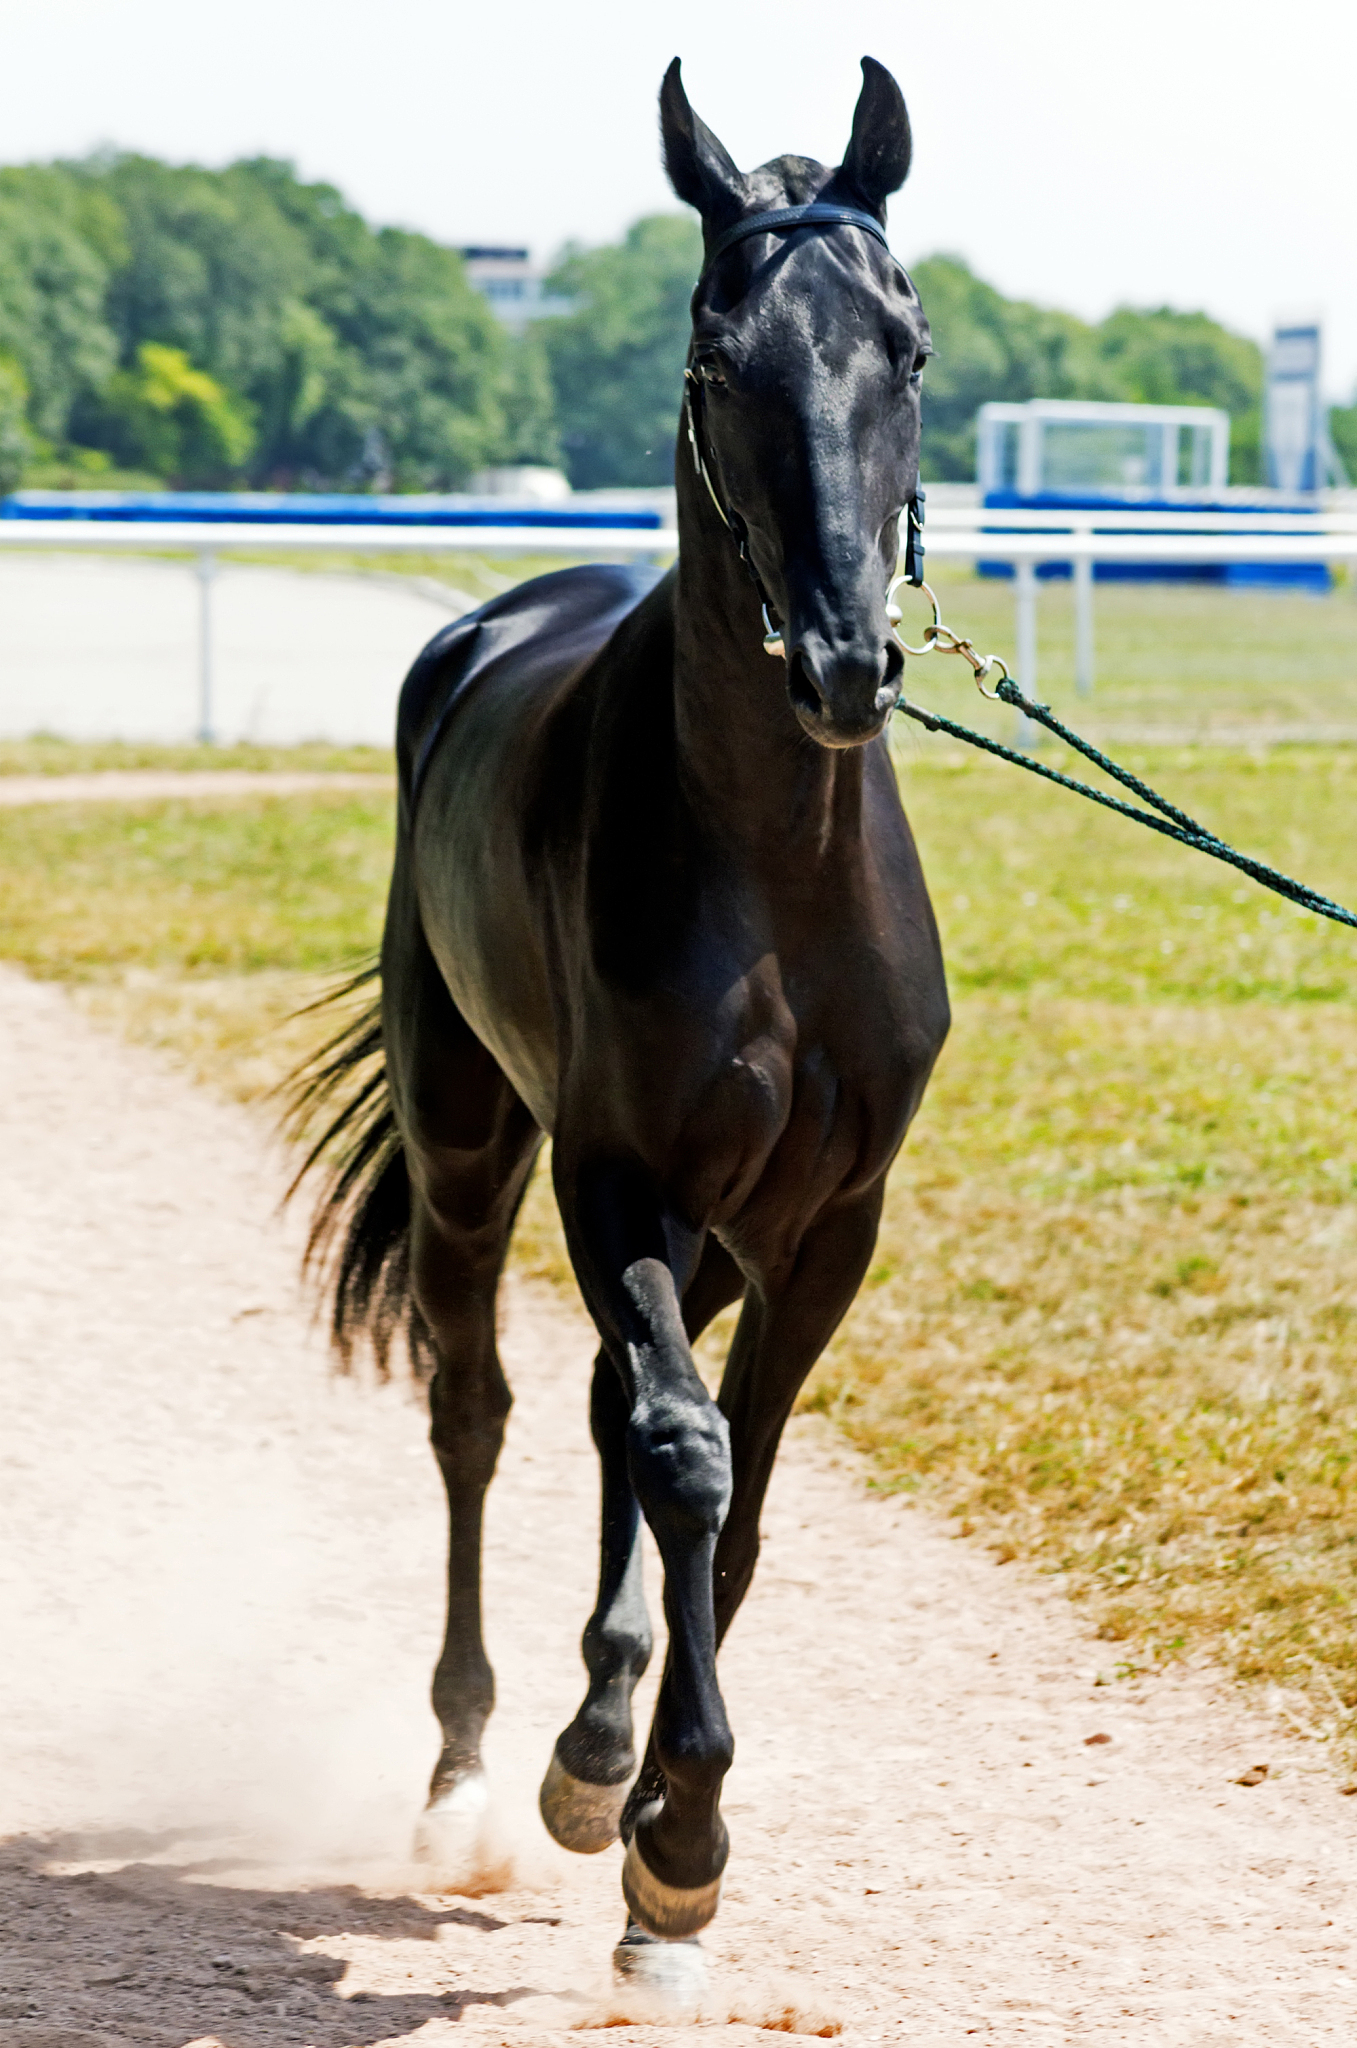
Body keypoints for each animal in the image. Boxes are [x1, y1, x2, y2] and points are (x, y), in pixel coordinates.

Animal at [294, 53, 948, 1999]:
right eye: (717, 356)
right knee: (485, 1406)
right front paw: (671, 1846)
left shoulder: (826, 1221)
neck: (780, 874)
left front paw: (655, 1814)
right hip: (467, 1147)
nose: (844, 660)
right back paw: (478, 1770)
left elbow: (743, 1474)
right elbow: (686, 1449)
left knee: (603, 1406)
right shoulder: (614, 1175)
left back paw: (593, 1736)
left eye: (905, 343)